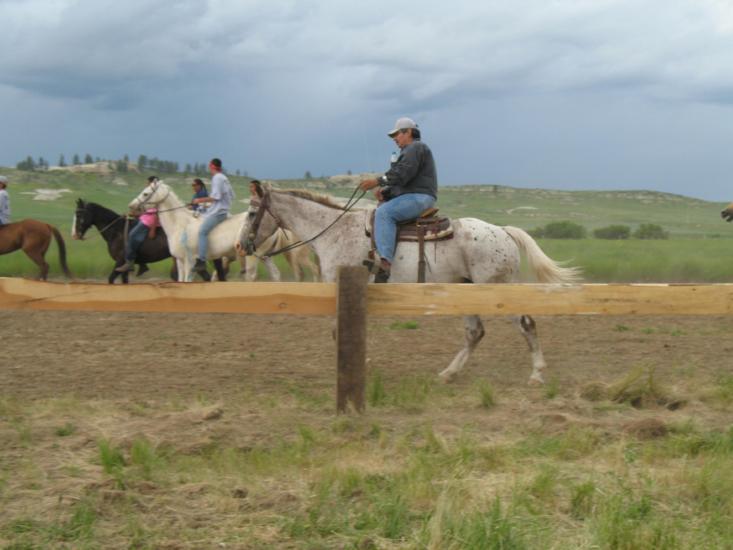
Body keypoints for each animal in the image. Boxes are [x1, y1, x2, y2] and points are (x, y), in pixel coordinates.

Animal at [127, 183, 316, 282]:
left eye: (145, 193)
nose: (131, 206)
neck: (181, 225)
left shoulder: (189, 261)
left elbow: (188, 280)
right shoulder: (180, 261)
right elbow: (181, 280)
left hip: (252, 257)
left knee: (251, 276)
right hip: (265, 256)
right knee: (275, 275)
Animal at [237, 183, 580, 386]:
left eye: (252, 212)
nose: (241, 246)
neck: (335, 231)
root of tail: (504, 231)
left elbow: (339, 331)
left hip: (496, 291)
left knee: (526, 324)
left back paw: (536, 374)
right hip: (467, 290)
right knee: (475, 332)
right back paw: (449, 373)